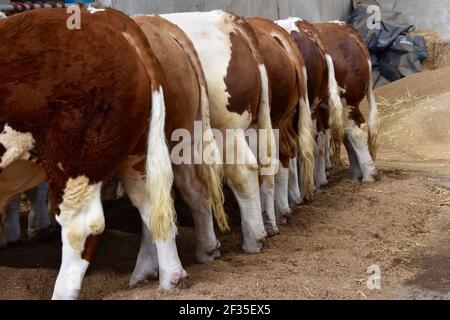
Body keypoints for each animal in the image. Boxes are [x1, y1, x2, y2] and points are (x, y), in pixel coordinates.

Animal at [0, 8, 176, 300]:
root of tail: (108, 17)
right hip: (137, 156)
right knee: (153, 207)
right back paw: (170, 278)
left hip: (74, 161)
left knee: (81, 227)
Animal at [160, 10, 276, 252]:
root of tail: (229, 18)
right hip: (254, 125)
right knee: (267, 164)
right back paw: (269, 225)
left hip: (226, 129)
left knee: (243, 171)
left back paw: (253, 239)